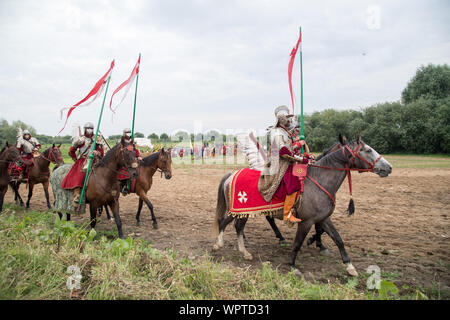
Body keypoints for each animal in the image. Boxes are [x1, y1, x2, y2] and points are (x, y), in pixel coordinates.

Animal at [213, 134, 392, 276]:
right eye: (367, 150)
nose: (388, 167)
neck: (320, 179)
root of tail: (231, 175)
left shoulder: (323, 219)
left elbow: (338, 239)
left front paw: (349, 266)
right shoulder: (306, 222)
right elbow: (298, 243)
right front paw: (293, 265)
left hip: (244, 212)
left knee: (238, 226)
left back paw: (245, 252)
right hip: (238, 210)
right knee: (224, 222)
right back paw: (219, 244)